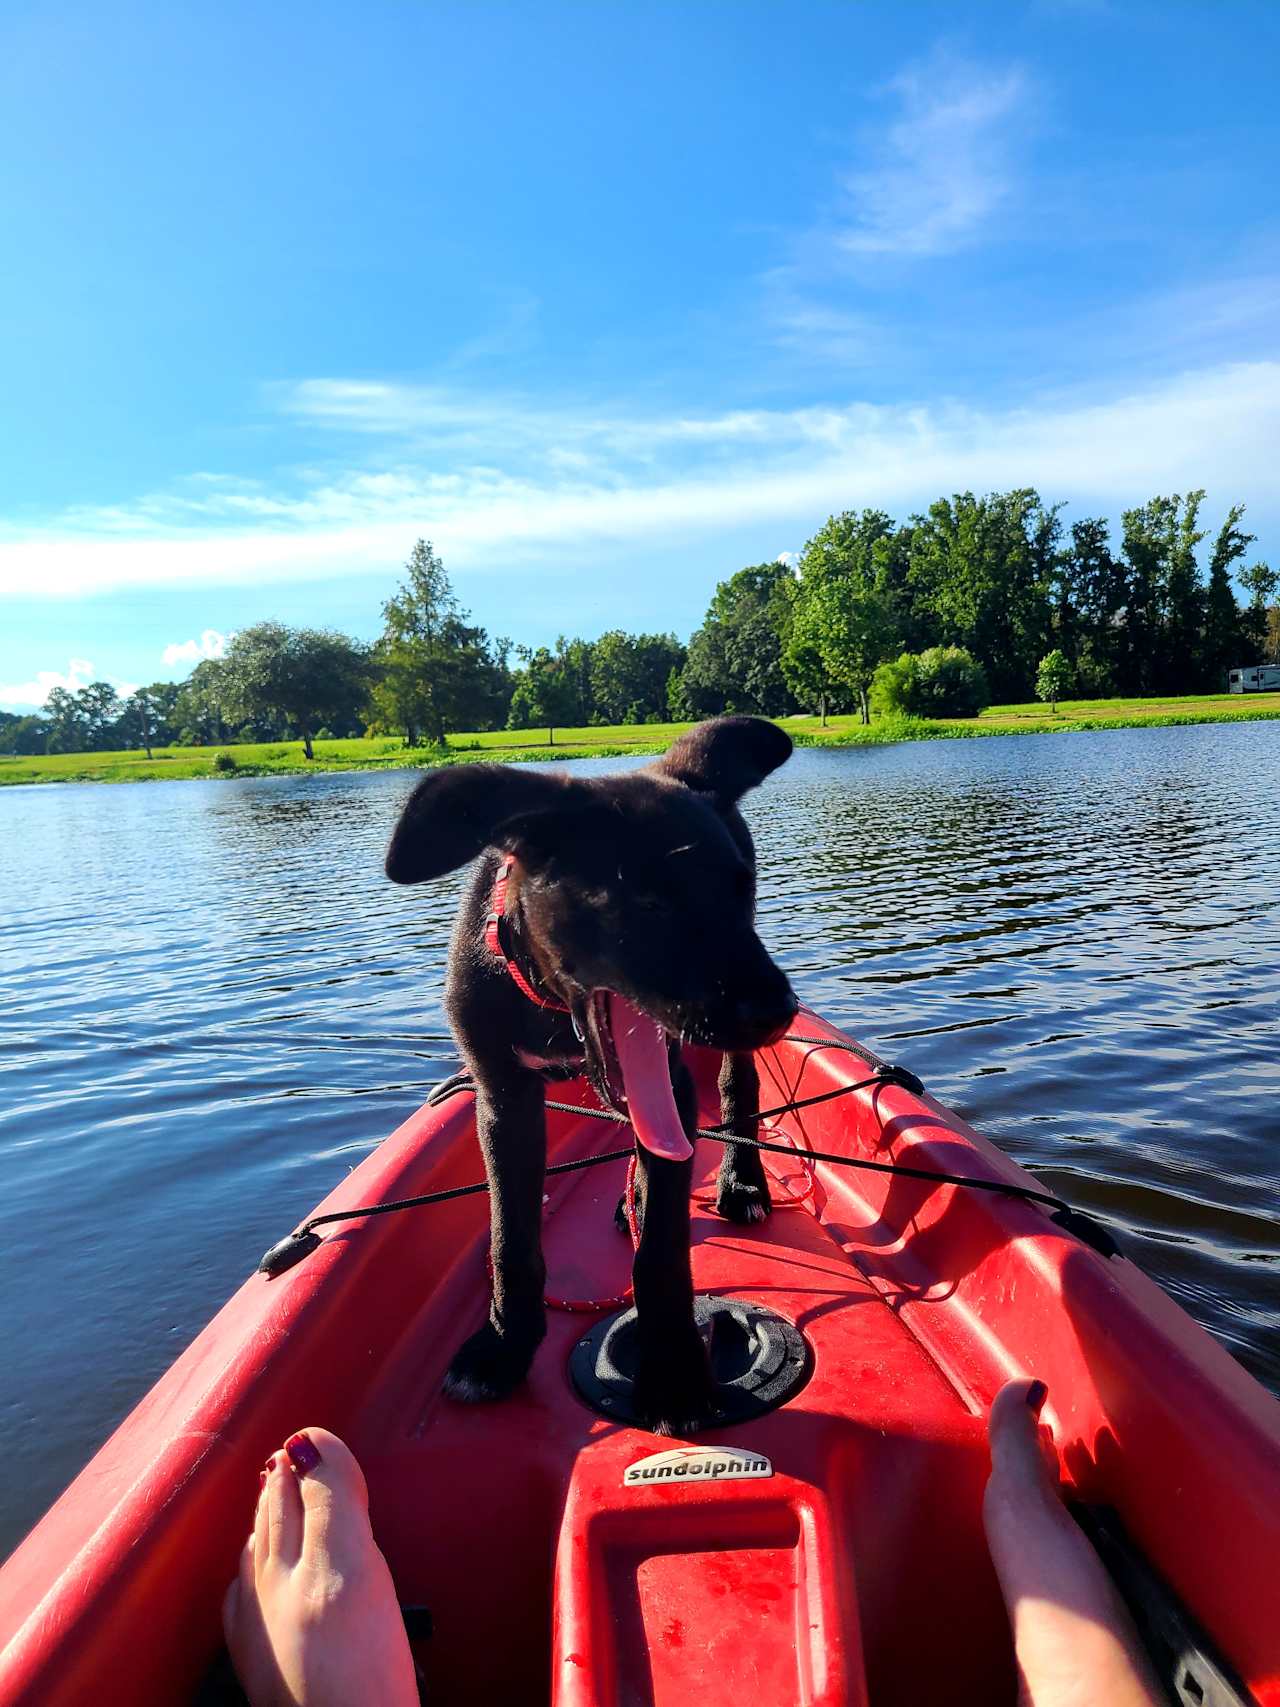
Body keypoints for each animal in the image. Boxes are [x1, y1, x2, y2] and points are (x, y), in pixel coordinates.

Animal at [385, 713, 798, 1433]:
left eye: (740, 889)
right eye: (647, 902)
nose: (780, 1013)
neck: (548, 1003)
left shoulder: (672, 1094)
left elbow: (660, 1249)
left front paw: (675, 1375)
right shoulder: (503, 1100)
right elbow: (511, 1238)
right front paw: (504, 1347)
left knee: (737, 1085)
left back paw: (740, 1181)